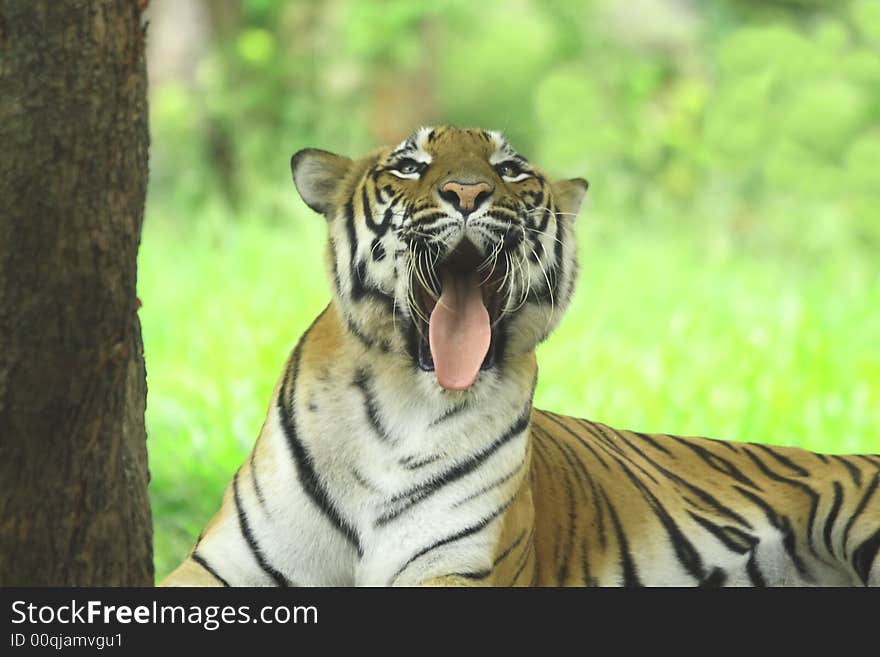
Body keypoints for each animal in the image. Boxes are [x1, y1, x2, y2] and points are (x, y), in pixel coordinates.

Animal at [160, 125, 880, 588]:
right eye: (410, 165)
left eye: (509, 171)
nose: (467, 194)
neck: (400, 402)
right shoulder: (220, 567)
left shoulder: (454, 568)